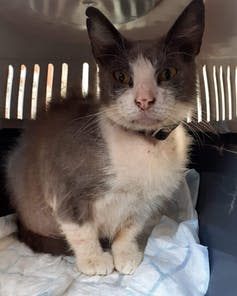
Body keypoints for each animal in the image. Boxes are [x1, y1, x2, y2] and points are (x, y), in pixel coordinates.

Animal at [6, 1, 205, 276]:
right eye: (121, 76)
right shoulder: (64, 182)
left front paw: (126, 256)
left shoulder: (147, 201)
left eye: (168, 73)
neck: (146, 143)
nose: (144, 100)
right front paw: (94, 261)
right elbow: (79, 227)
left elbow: (131, 228)